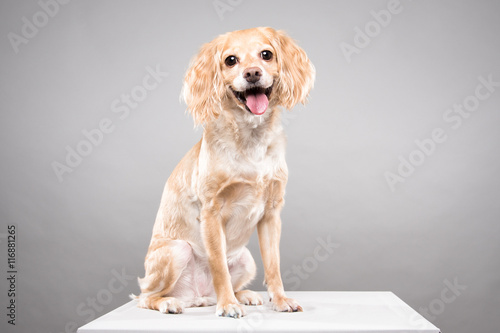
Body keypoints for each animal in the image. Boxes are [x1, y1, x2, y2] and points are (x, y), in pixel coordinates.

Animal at [135, 26, 314, 316]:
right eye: (231, 60)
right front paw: (228, 304)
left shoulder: (271, 214)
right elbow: (219, 266)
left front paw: (279, 300)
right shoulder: (211, 211)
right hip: (177, 250)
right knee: (145, 296)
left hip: (246, 258)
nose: (252, 73)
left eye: (266, 54)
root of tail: (197, 296)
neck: (251, 140)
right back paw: (170, 302)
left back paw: (243, 295)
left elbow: (274, 266)